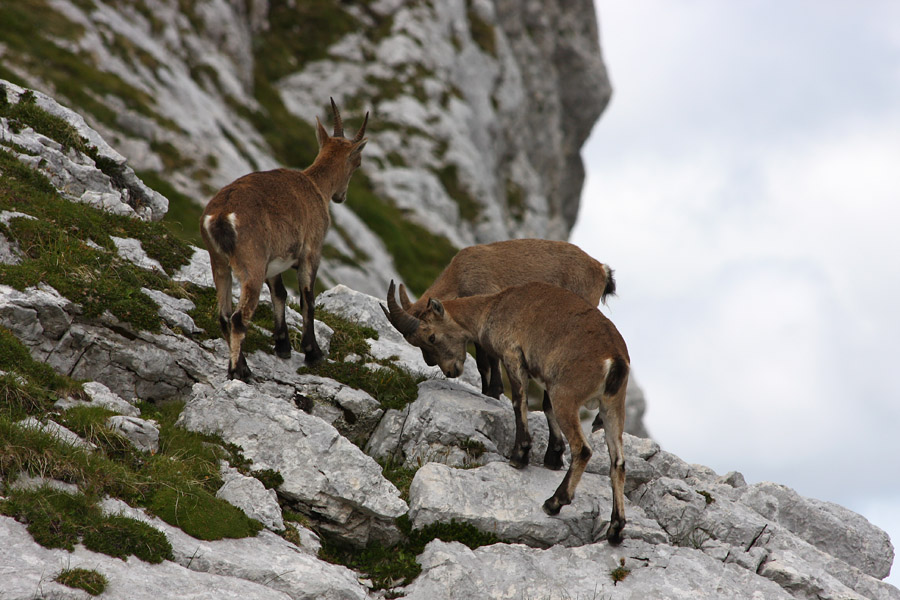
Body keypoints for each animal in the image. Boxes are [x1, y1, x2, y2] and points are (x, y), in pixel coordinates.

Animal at [200, 98, 368, 381]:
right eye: (357, 163)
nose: (341, 196)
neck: (315, 186)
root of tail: (221, 215)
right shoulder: (311, 253)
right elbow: (307, 299)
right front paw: (313, 352)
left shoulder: (274, 261)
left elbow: (279, 293)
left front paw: (283, 346)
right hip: (251, 264)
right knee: (238, 318)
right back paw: (239, 372)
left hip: (219, 262)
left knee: (224, 315)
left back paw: (242, 365)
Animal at [383, 280, 630, 543]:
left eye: (431, 336)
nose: (450, 371)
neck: (494, 307)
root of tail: (615, 360)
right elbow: (544, 408)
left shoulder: (513, 357)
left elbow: (519, 402)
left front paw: (519, 456)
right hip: (613, 407)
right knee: (618, 462)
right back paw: (615, 529)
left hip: (567, 395)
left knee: (582, 449)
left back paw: (553, 503)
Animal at [395, 239, 615, 399]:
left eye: (431, 337)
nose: (449, 371)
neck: (461, 277)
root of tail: (601, 269)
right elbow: (482, 362)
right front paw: (486, 391)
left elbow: (491, 357)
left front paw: (494, 391)